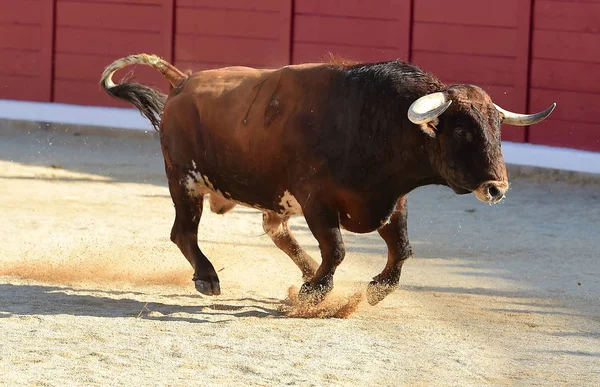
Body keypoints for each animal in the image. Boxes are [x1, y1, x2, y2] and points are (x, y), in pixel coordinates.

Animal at [101, 54, 556, 306]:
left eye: (497, 128)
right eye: (462, 131)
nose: (498, 188)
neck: (375, 121)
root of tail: (183, 82)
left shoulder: (390, 201)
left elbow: (403, 249)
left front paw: (373, 289)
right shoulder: (317, 201)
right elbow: (336, 250)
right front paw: (314, 294)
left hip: (267, 195)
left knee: (276, 231)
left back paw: (302, 273)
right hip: (184, 180)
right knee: (184, 231)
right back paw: (208, 278)